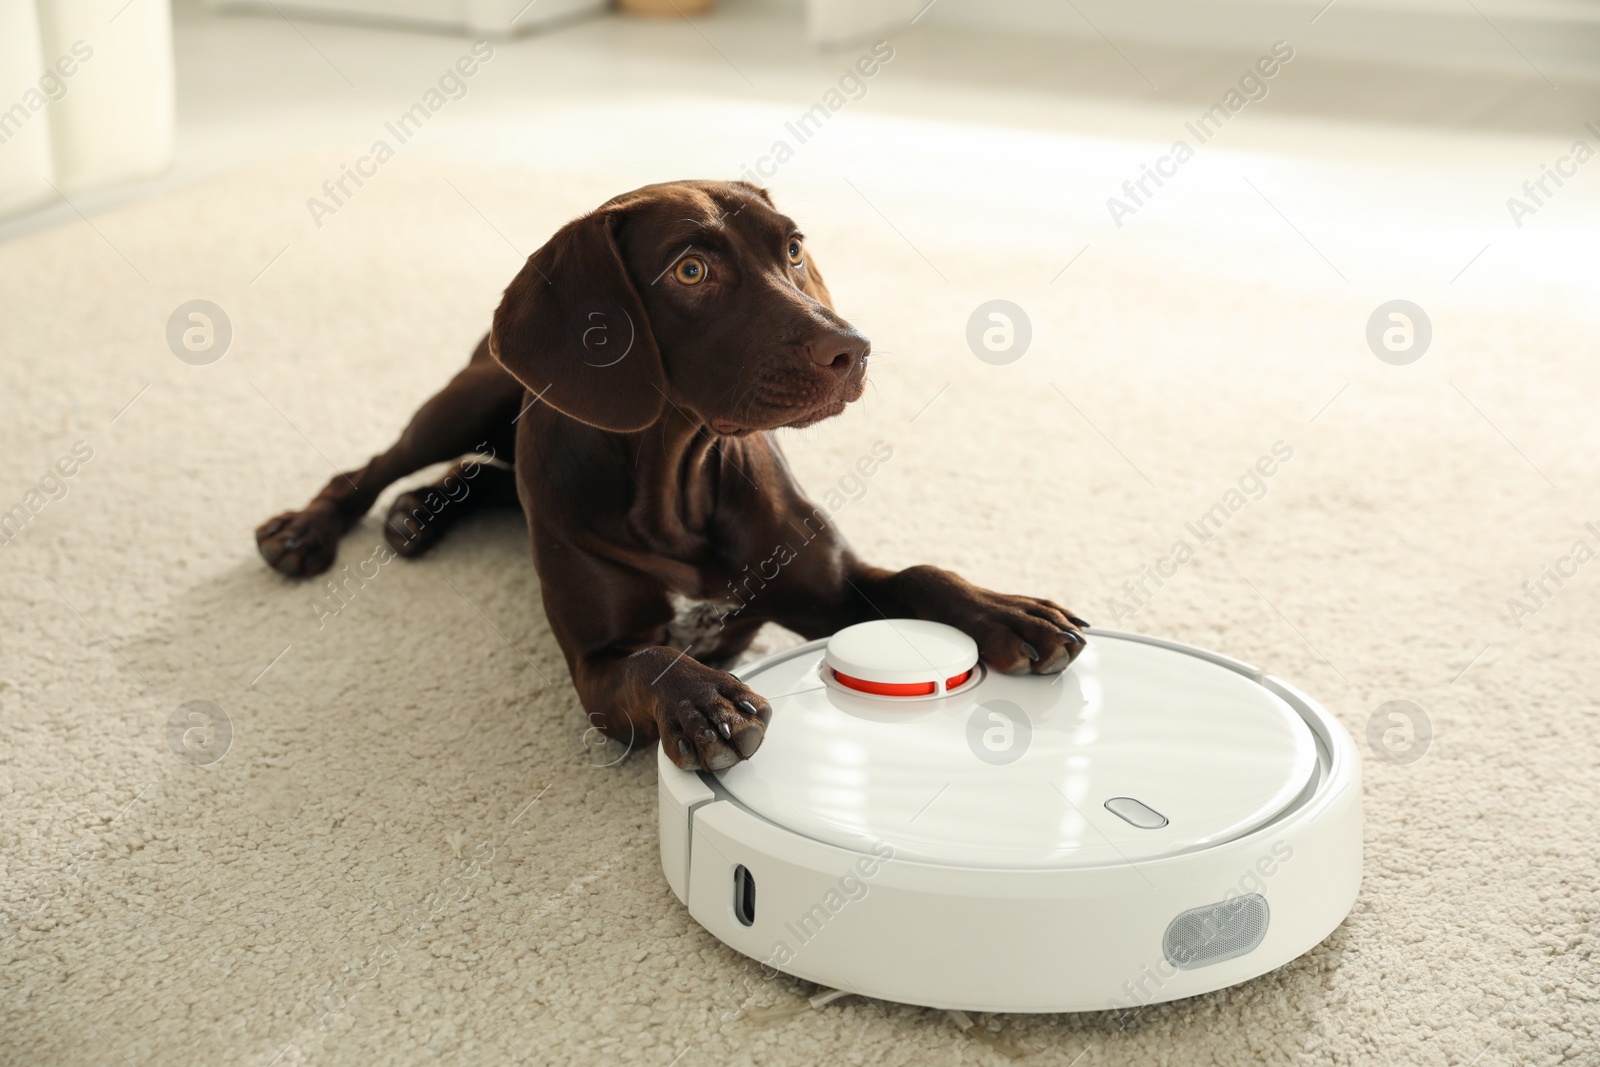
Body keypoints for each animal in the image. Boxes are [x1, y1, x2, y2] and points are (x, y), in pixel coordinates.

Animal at [256, 181, 1088, 767]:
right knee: (374, 467)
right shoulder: (596, 665)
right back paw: (309, 530)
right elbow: (653, 657)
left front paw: (1008, 611)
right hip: (471, 396)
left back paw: (418, 512)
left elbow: (923, 574)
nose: (852, 348)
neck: (679, 480)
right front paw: (703, 700)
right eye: (691, 269)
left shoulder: (832, 589)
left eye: (792, 249)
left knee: (485, 476)